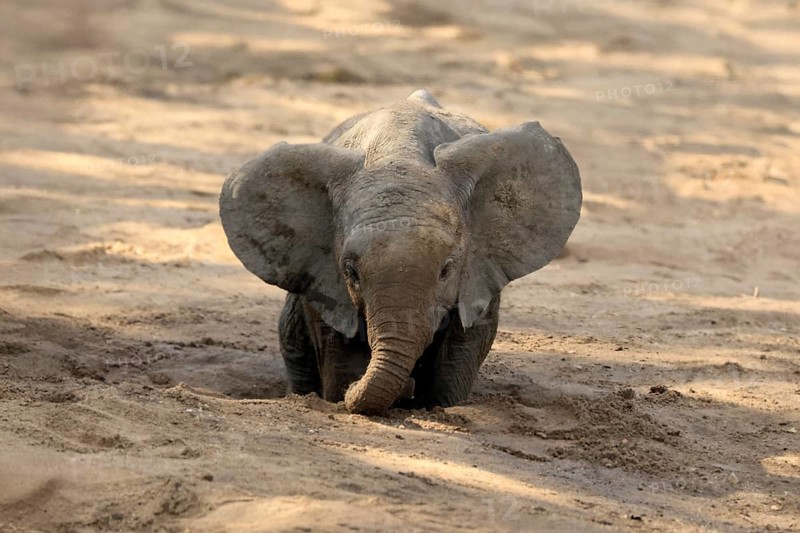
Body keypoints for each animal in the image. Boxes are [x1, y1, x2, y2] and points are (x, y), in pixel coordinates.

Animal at [219, 89, 582, 415]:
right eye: (350, 272)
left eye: (446, 270)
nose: (405, 391)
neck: (399, 154)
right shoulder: (323, 278)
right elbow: (338, 345)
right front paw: (345, 391)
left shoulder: (480, 267)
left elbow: (463, 344)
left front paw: (437, 407)